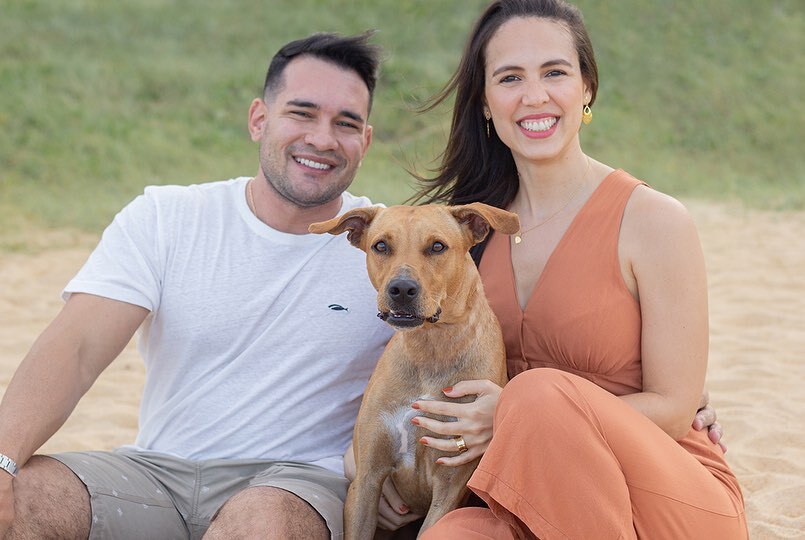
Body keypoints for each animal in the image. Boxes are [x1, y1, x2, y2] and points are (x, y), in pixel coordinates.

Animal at [308, 201, 520, 536]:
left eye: (438, 246)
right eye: (381, 246)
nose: (402, 289)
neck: (430, 347)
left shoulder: (448, 488)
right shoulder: (367, 479)